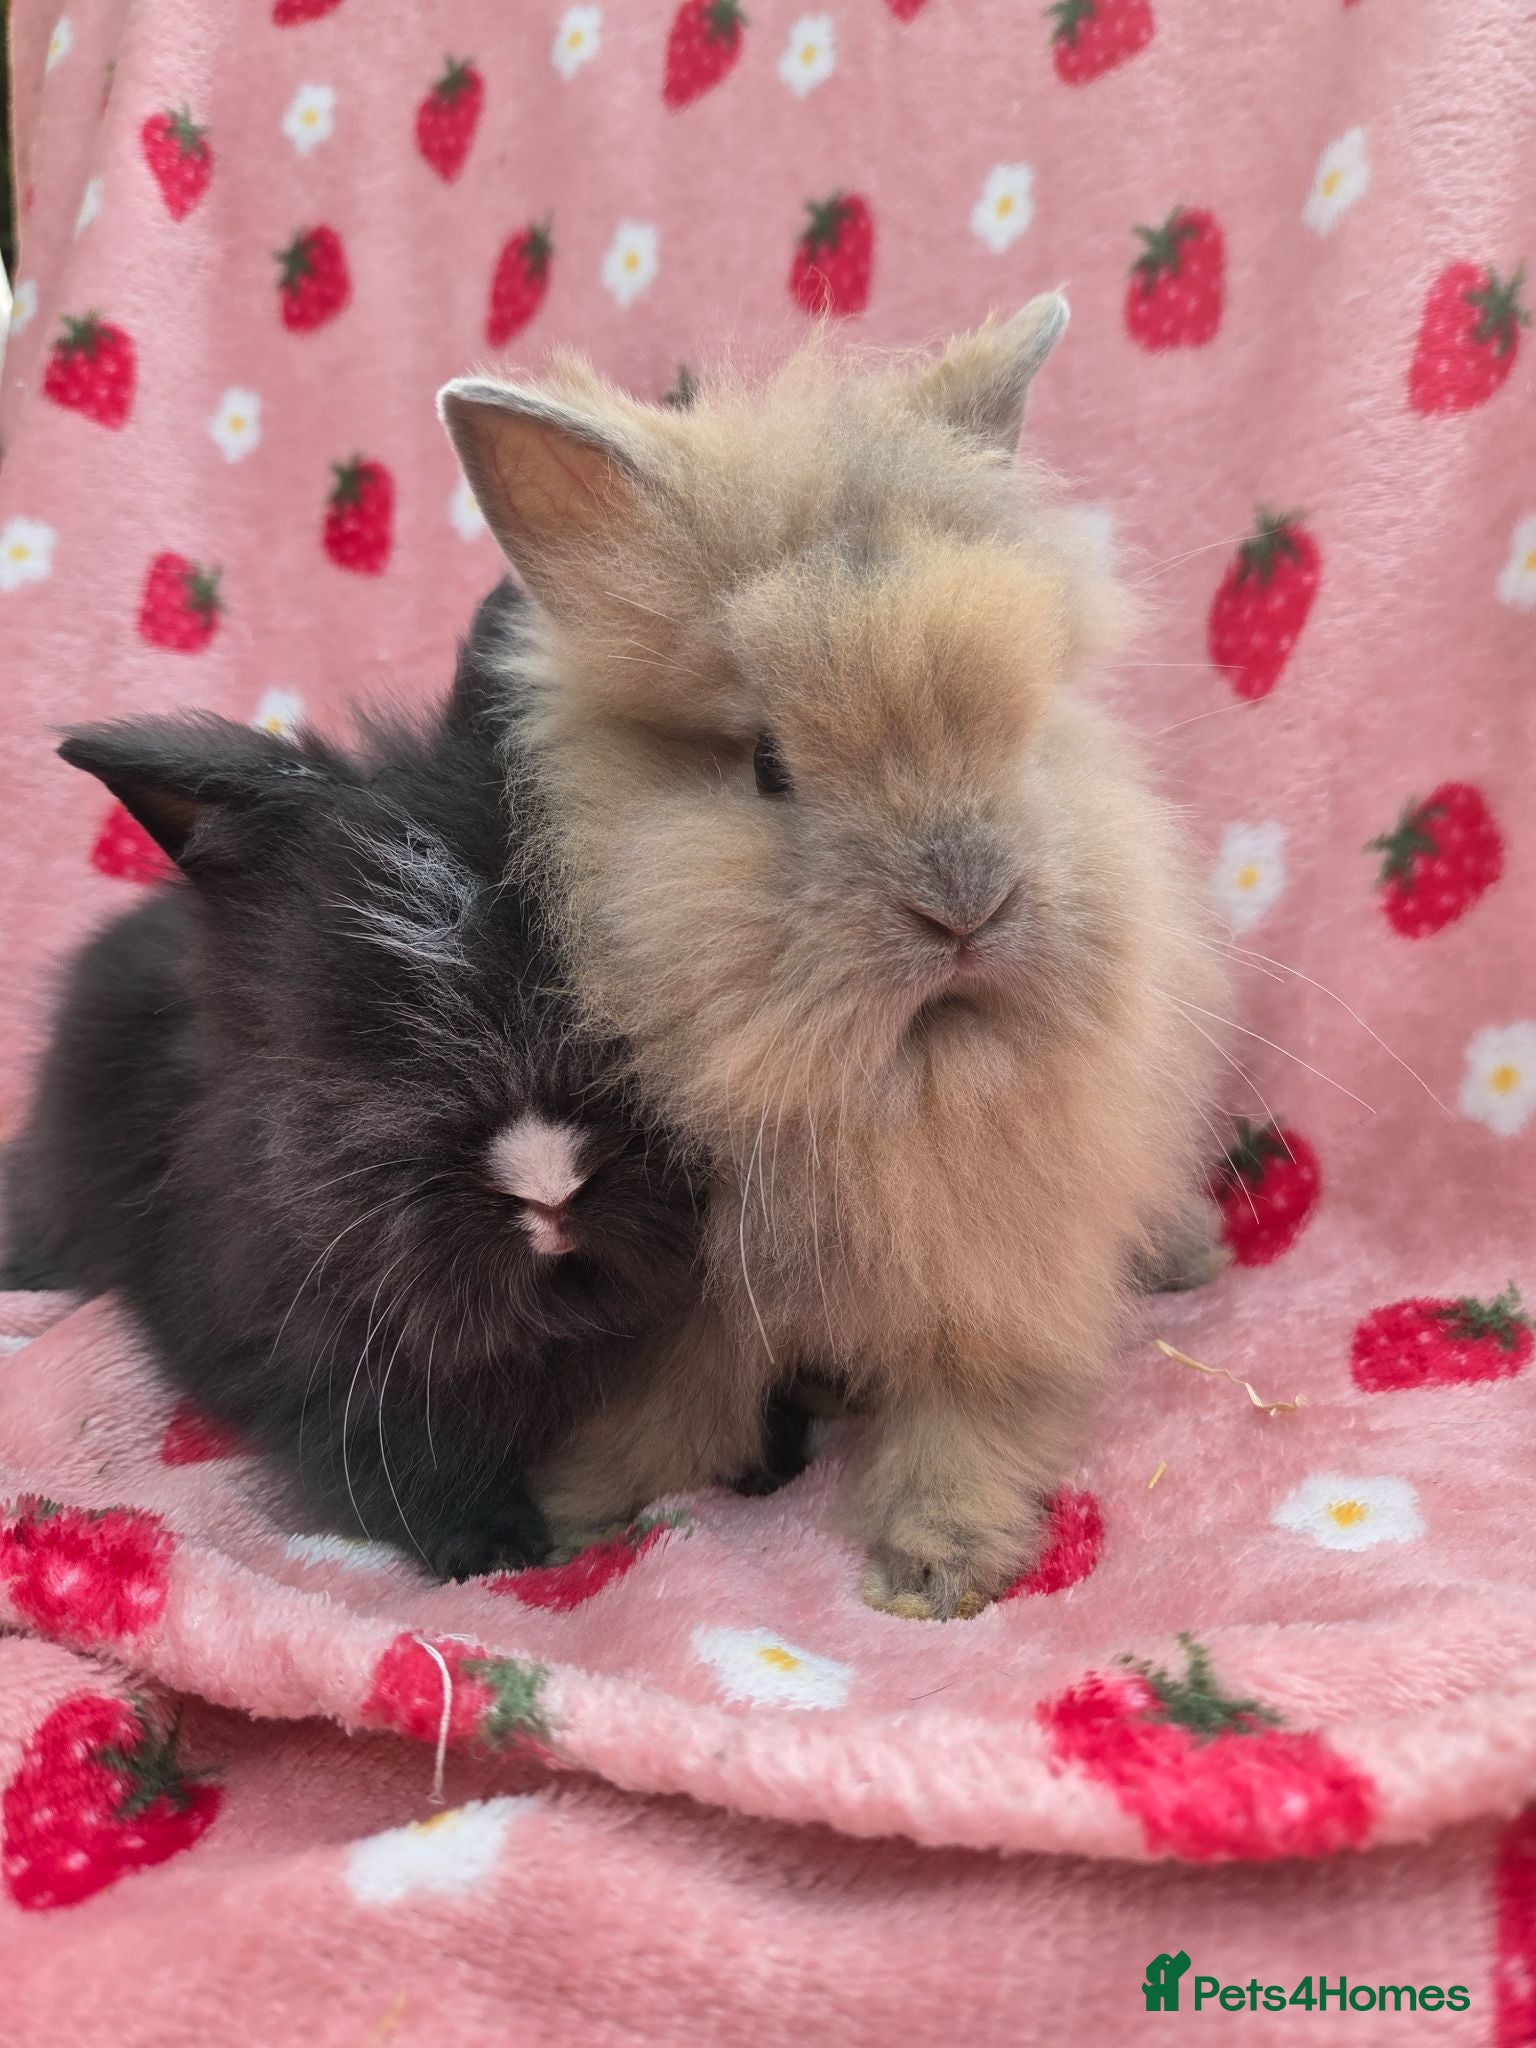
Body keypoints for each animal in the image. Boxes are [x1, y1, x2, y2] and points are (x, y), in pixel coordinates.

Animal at [2, 582, 708, 1579]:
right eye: (366, 1042)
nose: (548, 1182)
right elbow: (417, 1457)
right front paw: (492, 1553)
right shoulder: (331, 1367)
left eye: (585, 970)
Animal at [438, 293, 1229, 1617]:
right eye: (766, 764)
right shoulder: (683, 1312)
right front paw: (571, 1511)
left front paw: (934, 1567)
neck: (904, 1083)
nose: (965, 904)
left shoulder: (1003, 1283)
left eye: (1026, 726)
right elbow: (666, 1414)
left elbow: (969, 1413)